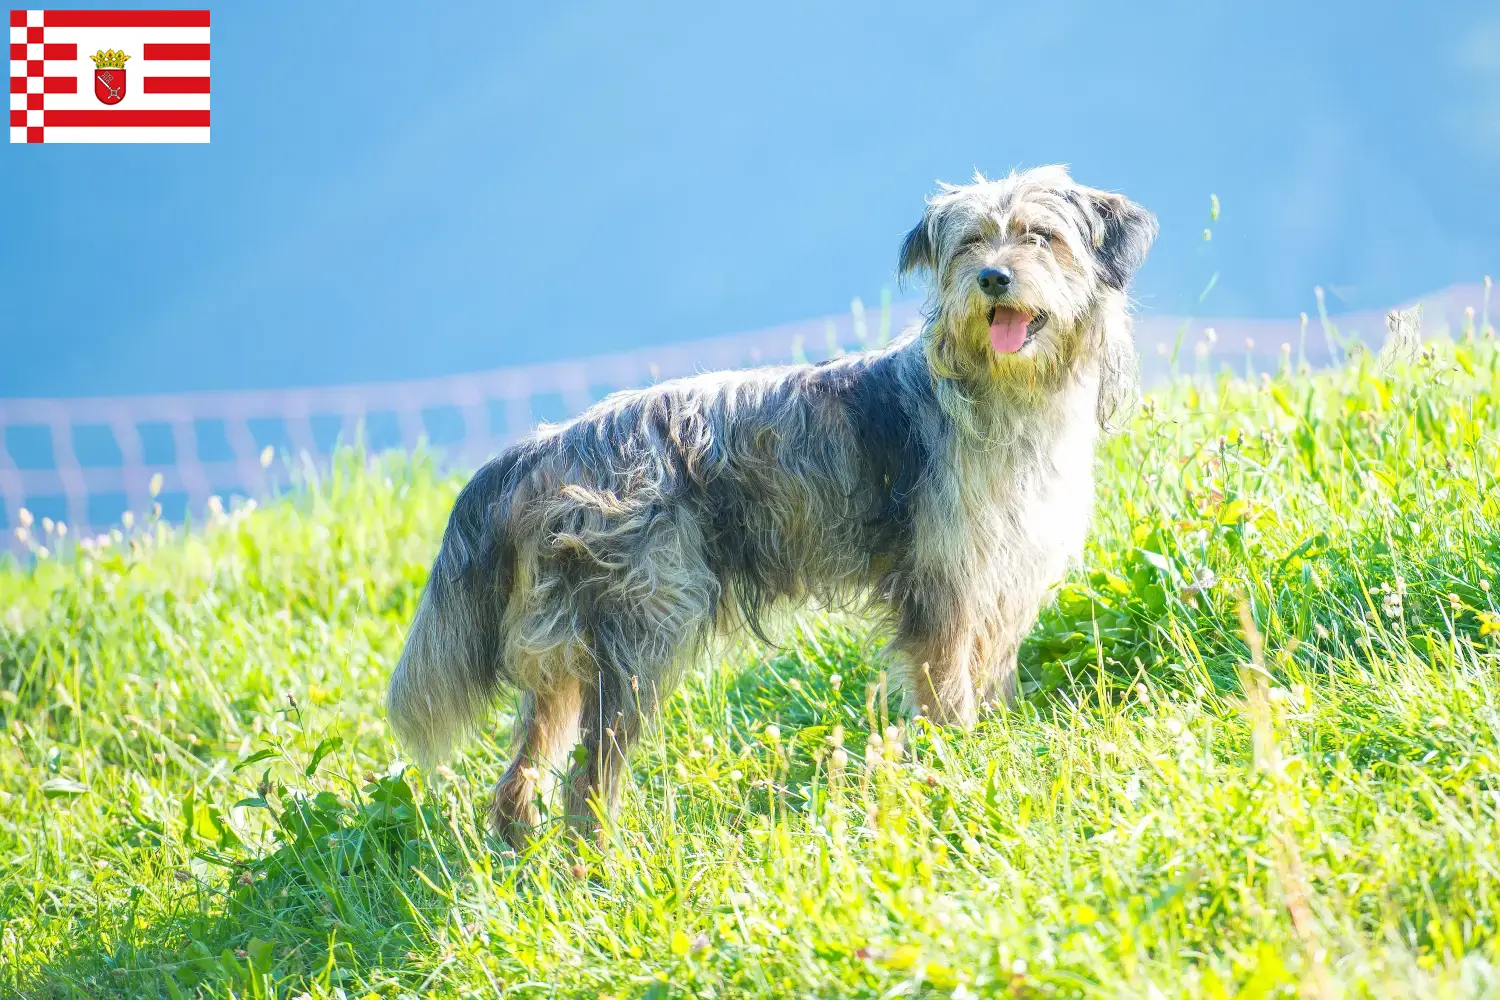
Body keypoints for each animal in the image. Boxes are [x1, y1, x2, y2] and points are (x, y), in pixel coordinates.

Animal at [390, 167, 1158, 851]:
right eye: (970, 241)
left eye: (1041, 236)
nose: (993, 279)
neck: (1004, 393)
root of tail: (546, 445)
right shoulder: (942, 590)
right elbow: (948, 700)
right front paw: (956, 771)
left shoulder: (999, 583)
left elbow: (991, 680)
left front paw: (993, 752)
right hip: (642, 635)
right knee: (588, 782)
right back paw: (603, 873)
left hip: (566, 652)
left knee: (521, 776)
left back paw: (523, 862)